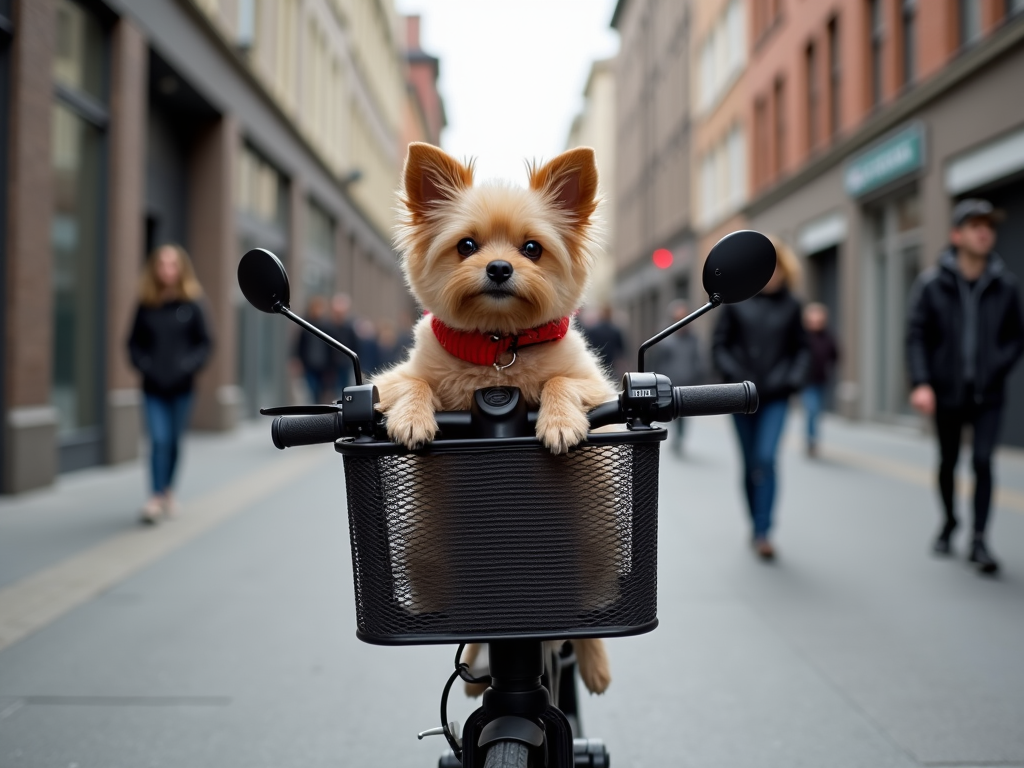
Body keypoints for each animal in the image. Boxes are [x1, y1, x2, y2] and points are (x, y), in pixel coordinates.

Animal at [372, 143, 618, 696]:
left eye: (532, 249)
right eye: (466, 246)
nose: (501, 268)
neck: (497, 351)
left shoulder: (599, 388)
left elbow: (561, 381)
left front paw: (558, 422)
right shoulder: (391, 380)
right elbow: (413, 385)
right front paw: (414, 419)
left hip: (593, 547)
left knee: (586, 617)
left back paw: (594, 662)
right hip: (430, 557)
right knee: (479, 621)